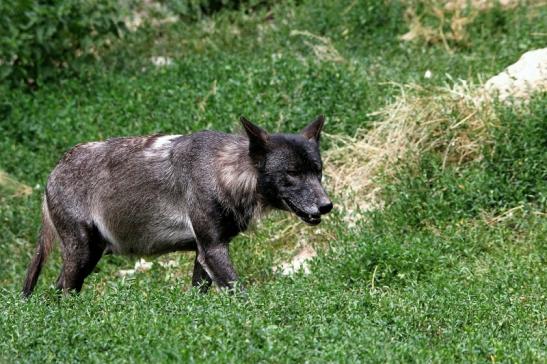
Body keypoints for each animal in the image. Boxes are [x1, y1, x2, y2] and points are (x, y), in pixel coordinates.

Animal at [21, 115, 332, 298]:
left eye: (318, 171)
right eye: (292, 173)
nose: (326, 205)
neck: (224, 174)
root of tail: (52, 174)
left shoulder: (202, 252)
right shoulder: (213, 249)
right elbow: (241, 294)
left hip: (89, 256)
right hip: (82, 254)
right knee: (61, 292)